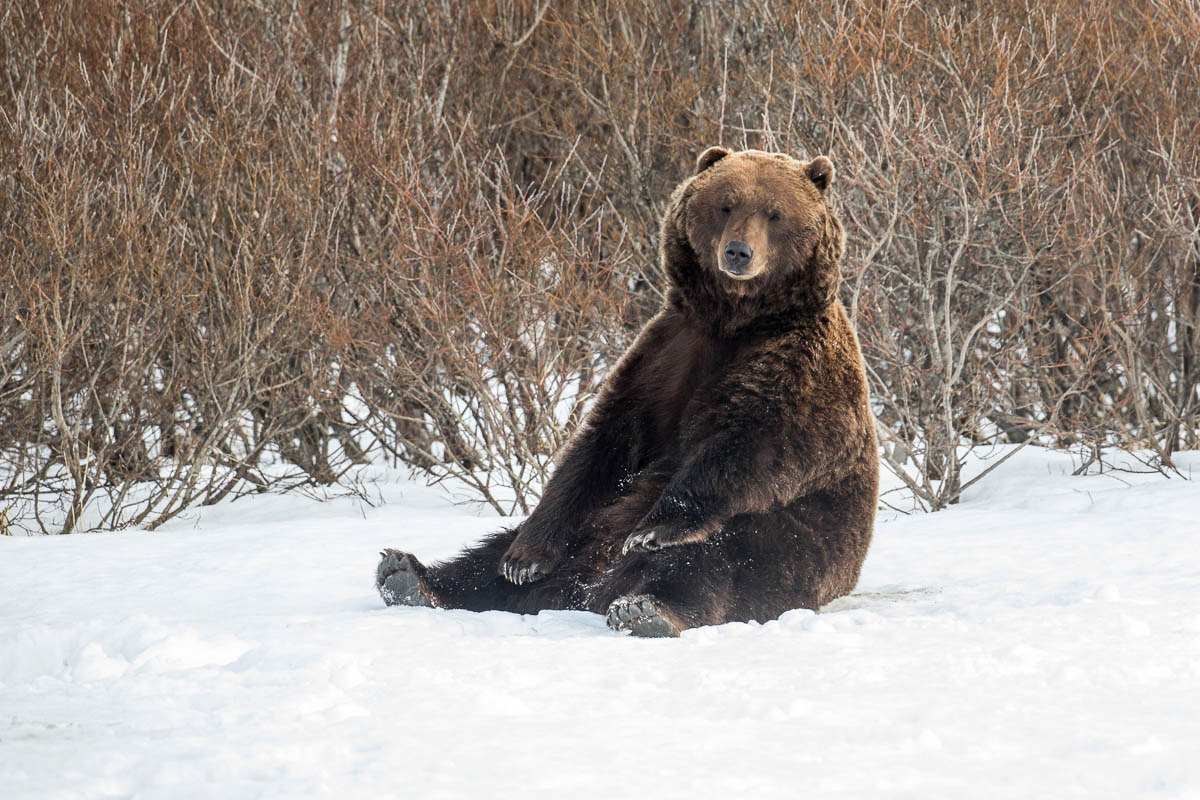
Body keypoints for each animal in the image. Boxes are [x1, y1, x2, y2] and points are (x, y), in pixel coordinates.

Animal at [379, 146, 878, 638]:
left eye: (775, 213)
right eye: (726, 204)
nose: (739, 251)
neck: (734, 321)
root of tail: (582, 591)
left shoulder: (798, 367)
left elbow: (751, 444)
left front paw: (654, 529)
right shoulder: (666, 353)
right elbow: (604, 443)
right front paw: (524, 559)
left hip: (789, 544)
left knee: (710, 562)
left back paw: (646, 608)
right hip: (587, 533)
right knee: (488, 556)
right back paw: (411, 576)